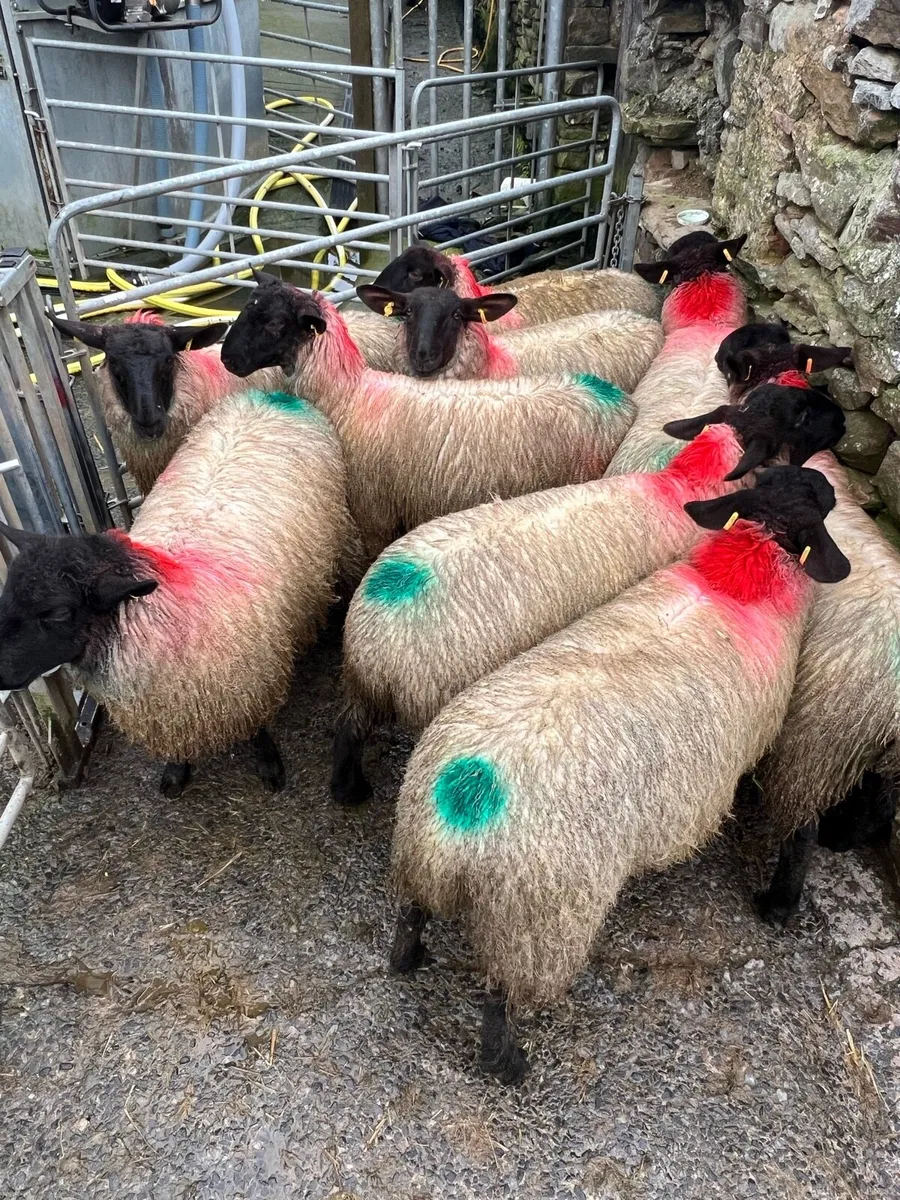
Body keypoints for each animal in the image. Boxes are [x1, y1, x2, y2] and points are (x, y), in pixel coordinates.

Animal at [0, 387, 348, 796]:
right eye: (8, 590)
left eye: (57, 612)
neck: (157, 608)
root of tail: (269, 394)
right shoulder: (168, 708)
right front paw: (176, 772)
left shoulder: (250, 681)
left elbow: (257, 728)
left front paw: (269, 764)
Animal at [333, 384, 846, 804]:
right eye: (799, 416)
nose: (840, 419)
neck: (683, 485)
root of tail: (373, 639)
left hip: (357, 688)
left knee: (347, 731)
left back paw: (348, 788)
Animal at [388, 465, 851, 1082]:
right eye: (820, 504)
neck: (742, 572)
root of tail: (461, 798)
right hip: (538, 925)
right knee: (501, 1000)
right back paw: (510, 1065)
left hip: (420, 864)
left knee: (409, 919)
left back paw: (411, 958)